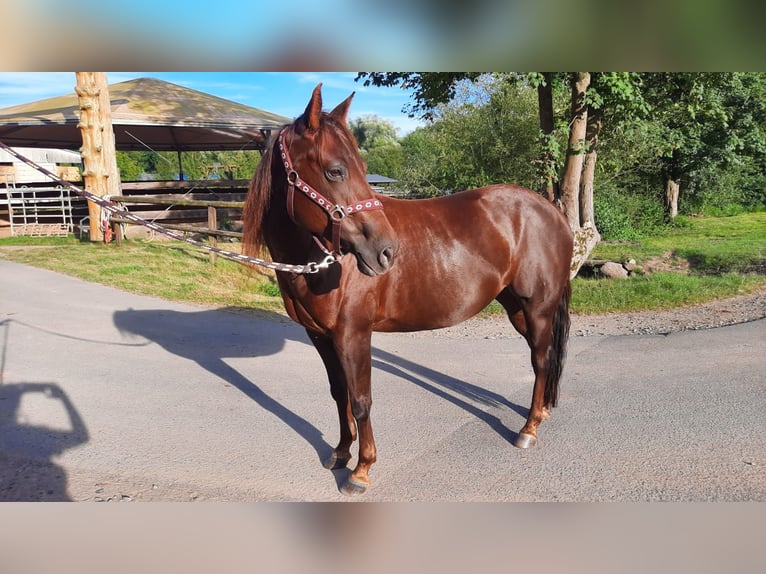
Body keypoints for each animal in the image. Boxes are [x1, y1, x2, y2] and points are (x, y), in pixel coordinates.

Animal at [243, 84, 572, 496]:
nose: (386, 251)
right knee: (542, 357)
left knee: (541, 360)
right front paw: (340, 453)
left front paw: (361, 470)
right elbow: (339, 393)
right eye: (335, 170)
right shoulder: (319, 335)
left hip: (538, 306)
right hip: (516, 307)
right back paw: (540, 413)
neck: (320, 263)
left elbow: (361, 398)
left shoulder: (353, 333)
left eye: (361, 168)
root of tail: (552, 211)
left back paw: (528, 430)